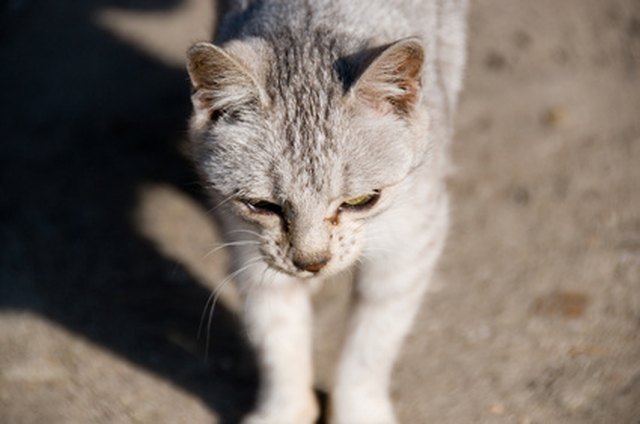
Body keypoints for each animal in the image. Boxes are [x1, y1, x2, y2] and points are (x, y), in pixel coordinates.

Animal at [188, 1, 468, 422]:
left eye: (360, 201)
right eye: (262, 205)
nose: (312, 262)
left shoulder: (413, 237)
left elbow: (372, 344)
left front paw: (357, 410)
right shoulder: (247, 244)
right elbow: (277, 337)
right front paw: (284, 410)